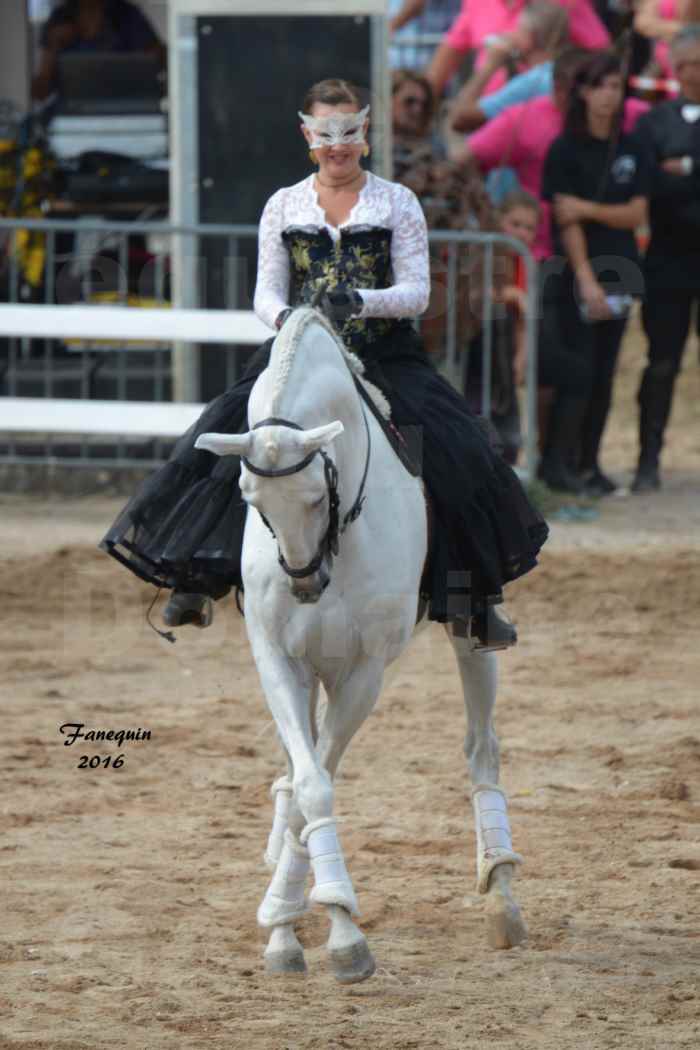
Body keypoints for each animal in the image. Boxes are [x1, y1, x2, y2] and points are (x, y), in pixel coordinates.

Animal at [196, 308, 524, 982]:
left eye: (316, 495)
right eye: (249, 498)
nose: (305, 583)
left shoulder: (366, 671)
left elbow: (316, 785)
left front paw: (337, 930)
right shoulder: (279, 660)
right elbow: (309, 783)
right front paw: (287, 928)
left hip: (469, 631)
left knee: (482, 748)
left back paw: (502, 895)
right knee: (301, 767)